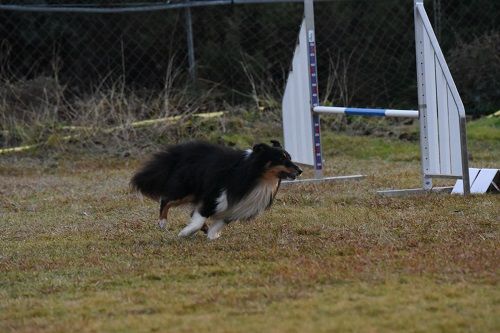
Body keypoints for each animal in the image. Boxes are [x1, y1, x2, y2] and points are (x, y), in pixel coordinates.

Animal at [131, 139, 300, 239]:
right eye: (281, 158)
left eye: (290, 158)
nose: (300, 171)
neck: (255, 176)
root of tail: (179, 152)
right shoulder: (216, 196)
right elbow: (200, 217)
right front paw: (185, 232)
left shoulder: (237, 205)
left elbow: (221, 221)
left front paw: (212, 235)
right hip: (187, 189)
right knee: (165, 200)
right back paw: (163, 222)